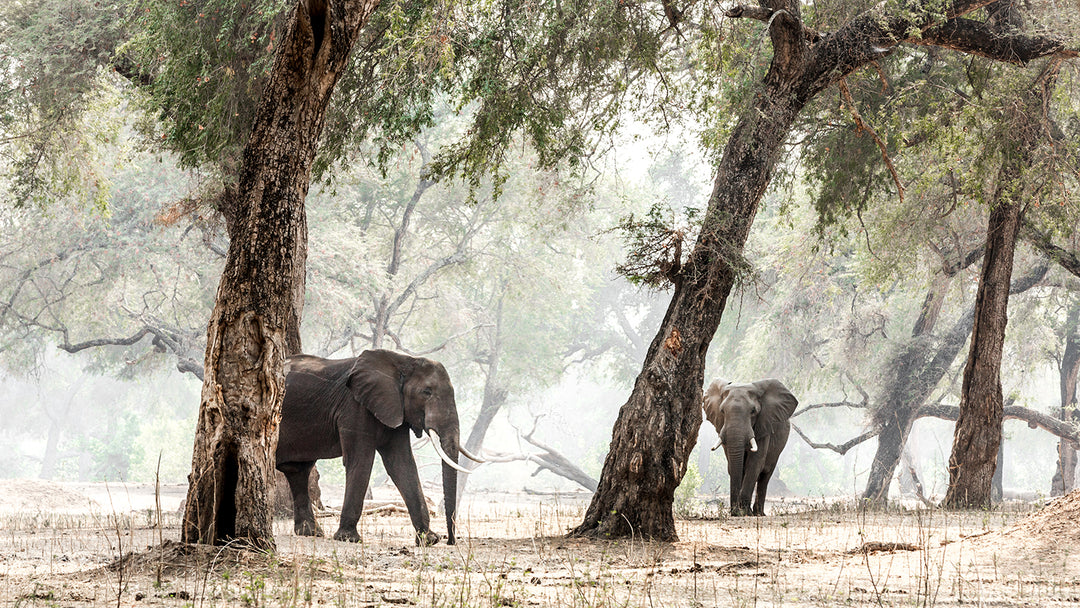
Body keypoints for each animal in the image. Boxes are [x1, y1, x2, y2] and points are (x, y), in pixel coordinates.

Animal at [275, 349, 483, 545]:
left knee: (298, 470)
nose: (450, 541)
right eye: (427, 392)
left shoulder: (395, 408)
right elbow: (361, 460)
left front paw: (428, 540)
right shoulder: (354, 406)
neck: (402, 361)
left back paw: (310, 533)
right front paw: (348, 539)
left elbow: (402, 464)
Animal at [702, 378, 798, 516]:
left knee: (766, 475)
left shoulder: (764, 426)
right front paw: (740, 512)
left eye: (753, 412)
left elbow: (754, 463)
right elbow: (734, 465)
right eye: (722, 411)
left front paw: (745, 512)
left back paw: (759, 513)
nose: (735, 511)